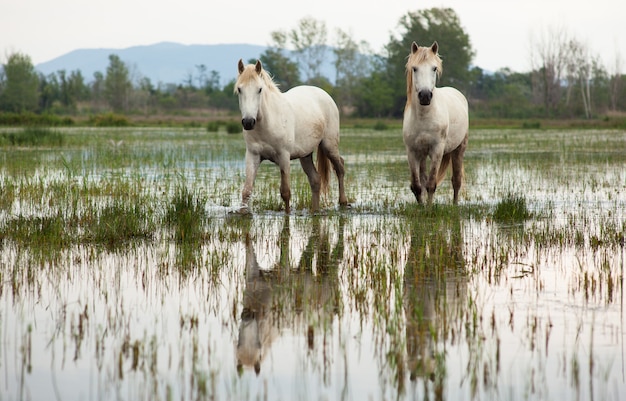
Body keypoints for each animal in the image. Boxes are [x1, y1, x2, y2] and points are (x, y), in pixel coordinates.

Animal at [234, 59, 346, 212]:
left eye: (259, 89)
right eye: (240, 89)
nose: (248, 122)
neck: (268, 122)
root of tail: (325, 95)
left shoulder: (284, 156)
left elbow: (285, 192)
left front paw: (287, 215)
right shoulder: (253, 155)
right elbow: (246, 191)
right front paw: (243, 213)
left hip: (329, 146)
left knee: (340, 168)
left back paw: (343, 202)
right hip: (305, 155)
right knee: (315, 180)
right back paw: (315, 210)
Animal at [400, 41, 468, 203]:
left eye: (434, 68)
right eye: (415, 68)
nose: (425, 96)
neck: (424, 117)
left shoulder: (437, 150)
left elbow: (431, 184)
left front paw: (430, 208)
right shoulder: (412, 151)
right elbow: (417, 186)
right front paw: (421, 207)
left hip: (459, 149)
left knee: (456, 181)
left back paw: (455, 205)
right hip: (423, 155)